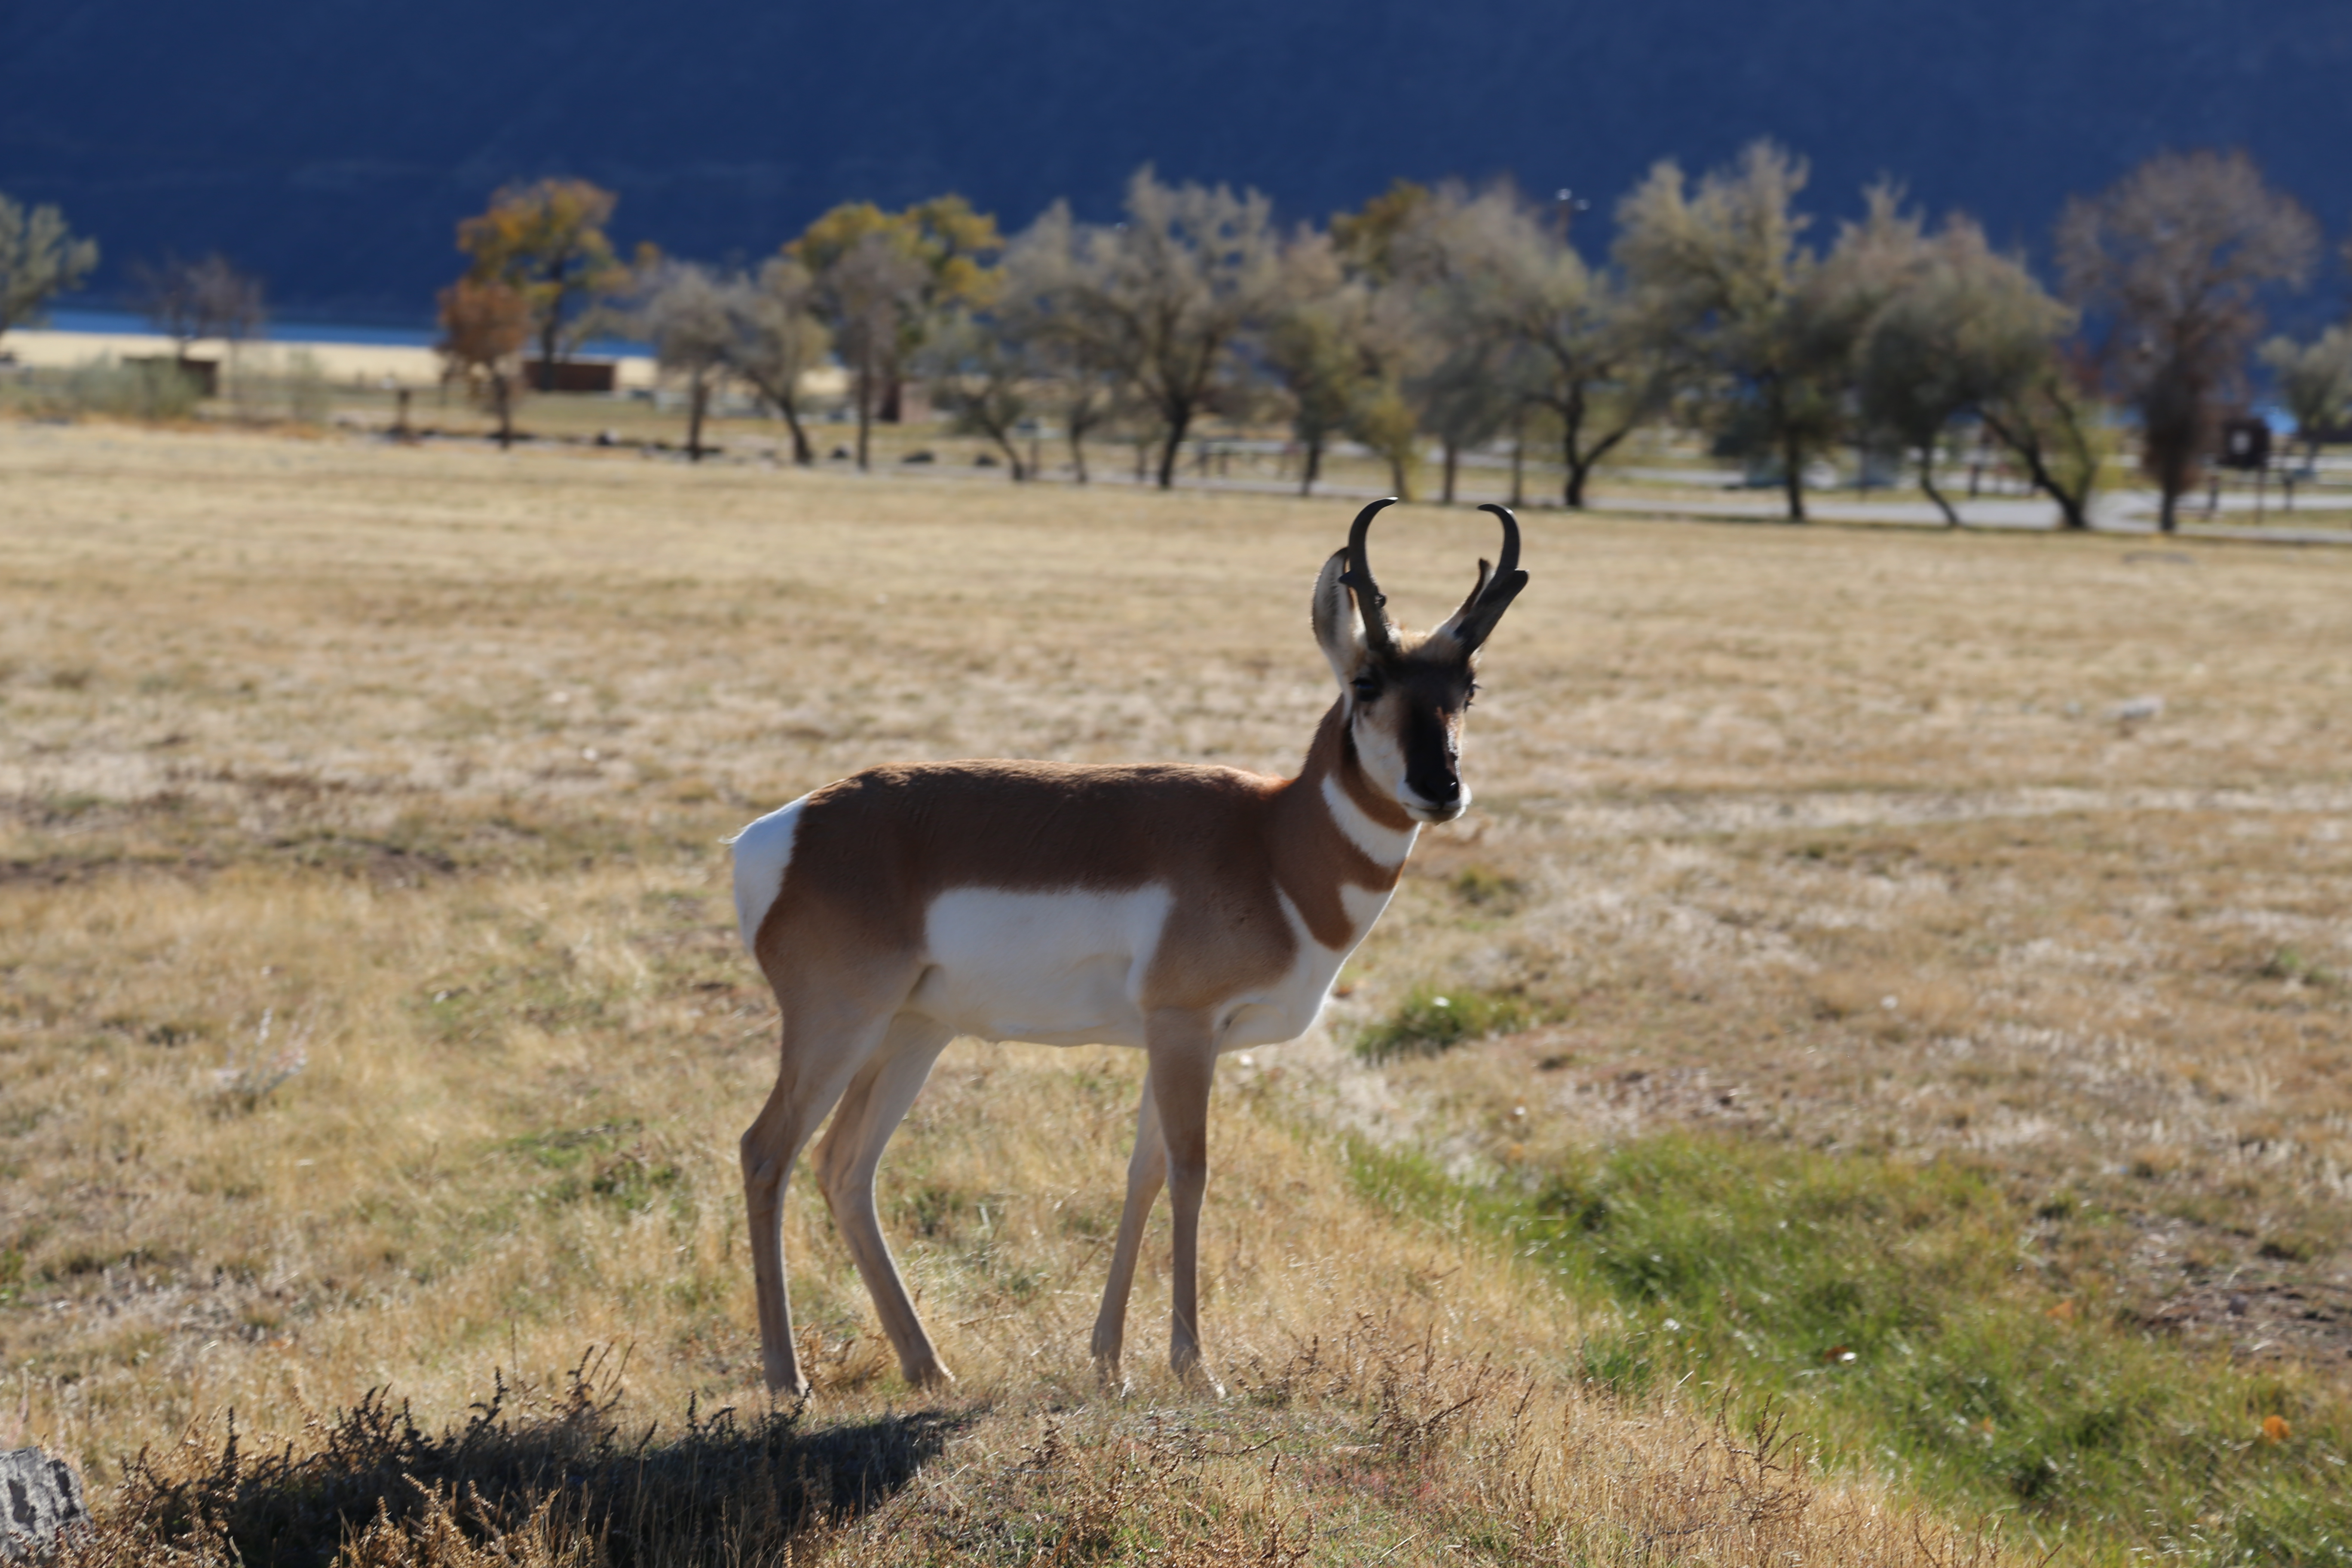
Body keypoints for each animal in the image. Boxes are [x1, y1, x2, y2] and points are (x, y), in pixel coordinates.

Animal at [724, 496, 1524, 1391]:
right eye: (1367, 680)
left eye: (1467, 686)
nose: (1441, 787)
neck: (1271, 844)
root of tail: (780, 831)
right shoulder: (1184, 1028)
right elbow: (1191, 1171)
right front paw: (1195, 1367)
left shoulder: (1168, 1040)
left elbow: (1142, 1173)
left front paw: (1109, 1360)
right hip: (840, 1026)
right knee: (767, 1150)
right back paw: (787, 1380)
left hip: (911, 1034)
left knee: (844, 1164)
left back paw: (930, 1367)